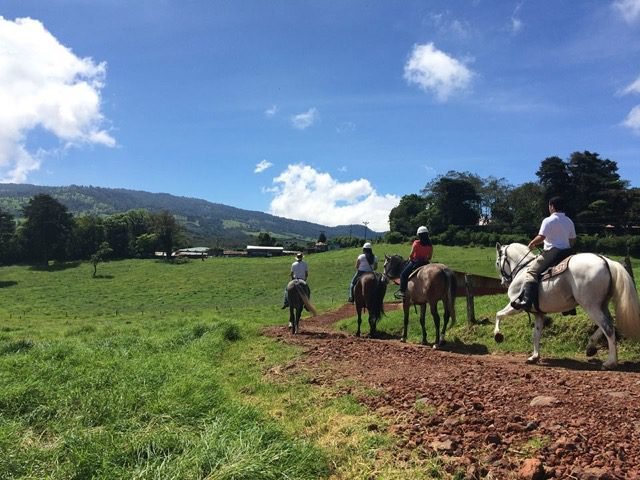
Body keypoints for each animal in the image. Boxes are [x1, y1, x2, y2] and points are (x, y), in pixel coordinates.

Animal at [496, 242, 640, 370]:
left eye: (497, 263)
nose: (503, 282)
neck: (523, 269)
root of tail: (605, 261)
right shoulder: (539, 314)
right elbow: (536, 334)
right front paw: (534, 357)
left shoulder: (515, 306)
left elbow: (498, 314)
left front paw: (498, 335)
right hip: (602, 305)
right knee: (608, 324)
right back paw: (591, 348)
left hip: (591, 306)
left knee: (608, 328)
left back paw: (610, 362)